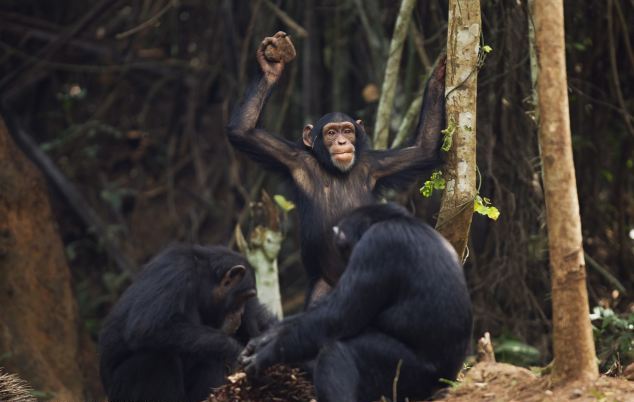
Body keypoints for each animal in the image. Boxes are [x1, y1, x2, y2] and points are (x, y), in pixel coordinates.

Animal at [99, 243, 274, 402]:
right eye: (243, 298)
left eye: (247, 299)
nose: (241, 313)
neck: (202, 280)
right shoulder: (176, 271)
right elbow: (146, 326)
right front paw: (238, 353)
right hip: (123, 393)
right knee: (156, 357)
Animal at [227, 33, 444, 304]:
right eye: (331, 133)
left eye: (348, 131)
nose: (341, 142)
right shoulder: (292, 158)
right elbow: (242, 131)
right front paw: (271, 68)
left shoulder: (377, 166)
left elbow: (423, 148)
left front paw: (438, 75)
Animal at [239, 204, 472, 402]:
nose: (342, 265)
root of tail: (446, 384)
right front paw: (264, 338)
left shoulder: (376, 247)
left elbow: (336, 316)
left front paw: (266, 354)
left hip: (411, 377)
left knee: (337, 351)